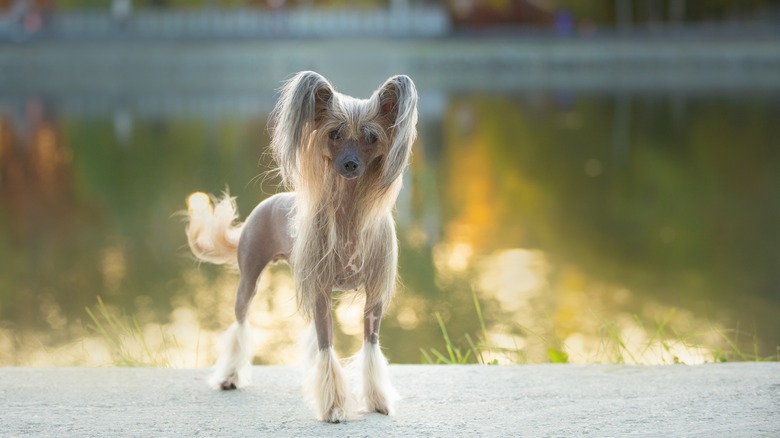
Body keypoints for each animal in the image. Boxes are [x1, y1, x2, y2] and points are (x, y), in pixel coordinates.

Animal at [185, 70, 418, 422]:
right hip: (249, 279)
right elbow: (326, 345)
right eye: (334, 134)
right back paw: (229, 377)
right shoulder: (320, 290)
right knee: (240, 324)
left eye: (371, 137)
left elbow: (370, 347)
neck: (349, 213)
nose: (350, 165)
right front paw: (334, 406)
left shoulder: (373, 298)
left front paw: (377, 400)